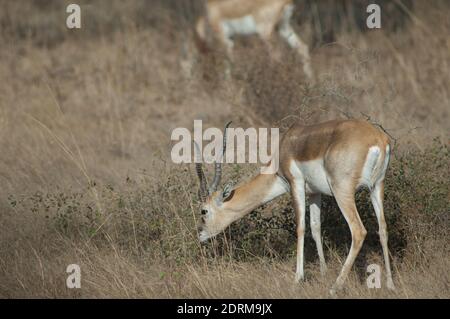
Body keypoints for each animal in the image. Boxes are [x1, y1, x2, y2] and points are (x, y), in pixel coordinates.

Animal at [195, 120, 396, 296]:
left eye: (204, 211)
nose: (200, 235)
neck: (285, 150)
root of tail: (377, 138)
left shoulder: (295, 184)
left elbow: (300, 228)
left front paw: (297, 279)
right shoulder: (315, 193)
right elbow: (315, 227)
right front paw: (323, 272)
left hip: (342, 191)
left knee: (359, 231)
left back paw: (334, 288)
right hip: (377, 187)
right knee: (383, 229)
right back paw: (390, 285)